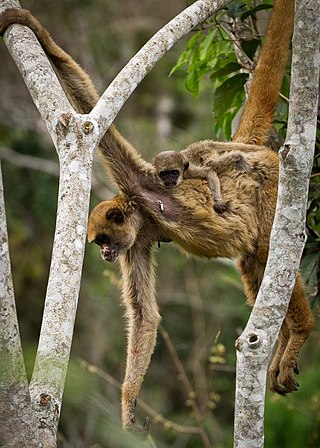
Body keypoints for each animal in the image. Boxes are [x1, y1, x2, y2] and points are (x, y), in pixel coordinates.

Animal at [0, 0, 314, 432]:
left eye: (102, 240)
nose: (104, 255)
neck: (147, 213)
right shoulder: (137, 243)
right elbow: (145, 316)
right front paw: (129, 402)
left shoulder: (141, 182)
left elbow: (92, 113)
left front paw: (32, 27)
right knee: (254, 261)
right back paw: (280, 344)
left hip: (273, 183)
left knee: (268, 249)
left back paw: (300, 332)